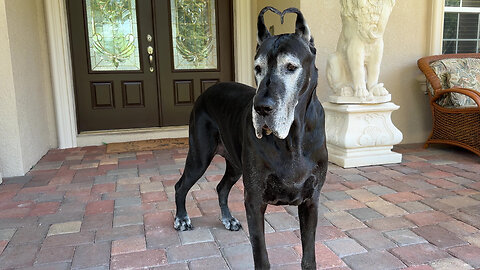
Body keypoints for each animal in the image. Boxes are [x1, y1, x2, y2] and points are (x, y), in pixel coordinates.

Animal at [174, 6, 328, 270]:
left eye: (291, 67)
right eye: (257, 68)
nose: (262, 108)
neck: (293, 138)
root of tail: (207, 90)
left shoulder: (311, 201)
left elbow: (309, 256)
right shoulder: (254, 201)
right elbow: (261, 255)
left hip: (235, 165)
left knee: (221, 187)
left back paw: (228, 219)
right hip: (199, 156)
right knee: (180, 185)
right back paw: (182, 218)